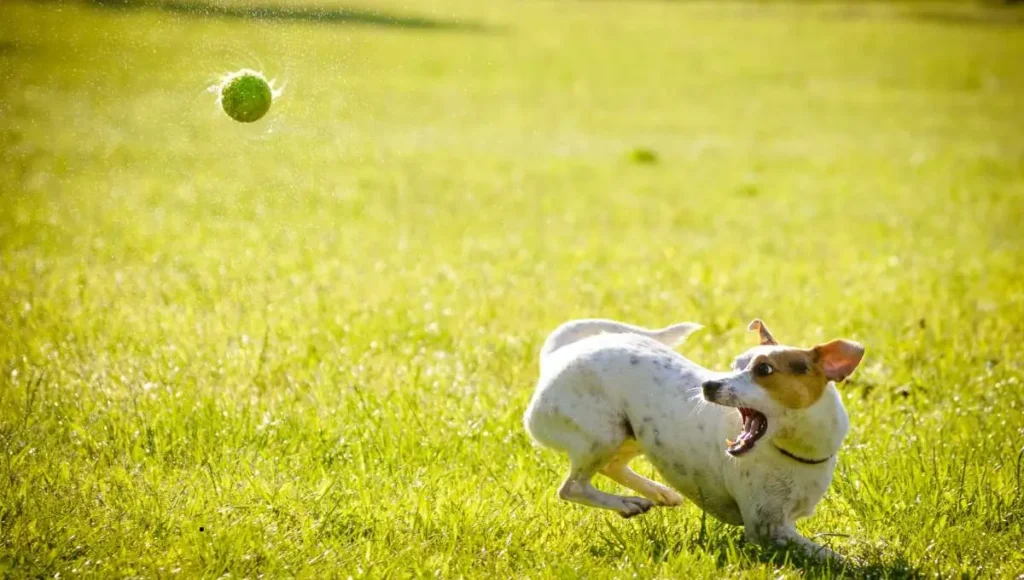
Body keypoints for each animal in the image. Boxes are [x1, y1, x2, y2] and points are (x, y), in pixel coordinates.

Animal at [524, 317, 868, 565]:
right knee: (572, 487)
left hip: (632, 433)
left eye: (764, 369)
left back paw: (658, 493)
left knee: (612, 466)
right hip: (603, 433)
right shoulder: (767, 529)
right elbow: (828, 554)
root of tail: (558, 355)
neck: (794, 450)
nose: (709, 385)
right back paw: (626, 503)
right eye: (735, 365)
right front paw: (854, 562)